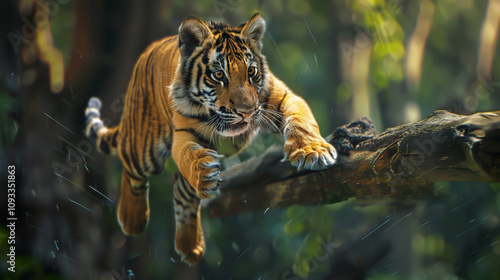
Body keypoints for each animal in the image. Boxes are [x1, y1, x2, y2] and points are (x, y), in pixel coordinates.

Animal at [85, 13, 336, 264]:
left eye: (251, 72)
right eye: (218, 75)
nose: (246, 112)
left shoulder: (283, 98)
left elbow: (302, 121)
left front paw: (313, 151)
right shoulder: (183, 136)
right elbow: (188, 157)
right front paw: (203, 172)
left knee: (181, 189)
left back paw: (190, 247)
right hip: (144, 147)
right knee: (132, 171)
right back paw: (132, 220)